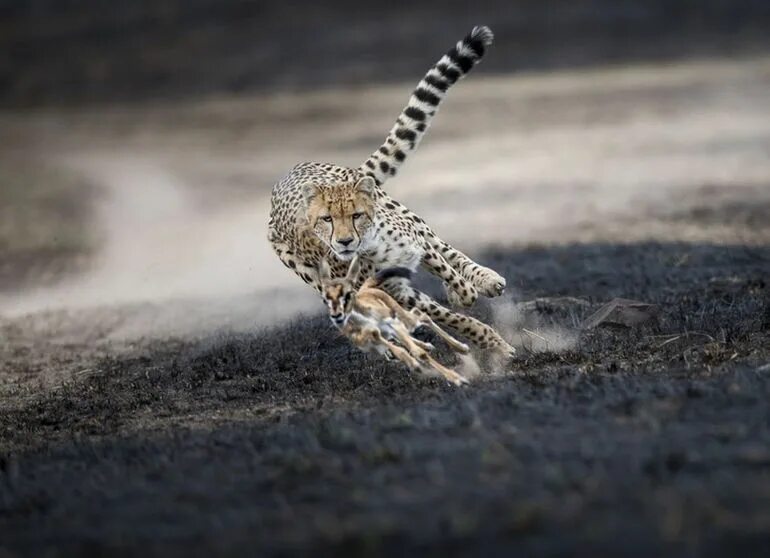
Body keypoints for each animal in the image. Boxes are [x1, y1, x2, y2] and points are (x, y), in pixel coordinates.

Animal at [268, 25, 512, 354]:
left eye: (356, 215)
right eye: (326, 220)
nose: (344, 242)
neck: (371, 247)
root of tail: (288, 175)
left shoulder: (418, 244)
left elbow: (450, 271)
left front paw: (465, 292)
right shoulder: (398, 290)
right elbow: (449, 315)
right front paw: (489, 339)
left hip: (409, 216)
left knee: (448, 249)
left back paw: (484, 279)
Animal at [318, 256, 468, 388]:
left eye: (348, 294)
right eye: (325, 299)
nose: (337, 316)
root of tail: (366, 288)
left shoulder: (392, 324)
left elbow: (418, 353)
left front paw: (458, 379)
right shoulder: (374, 339)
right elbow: (402, 351)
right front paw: (416, 365)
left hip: (404, 319)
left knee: (422, 316)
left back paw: (461, 348)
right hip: (393, 329)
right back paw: (428, 346)